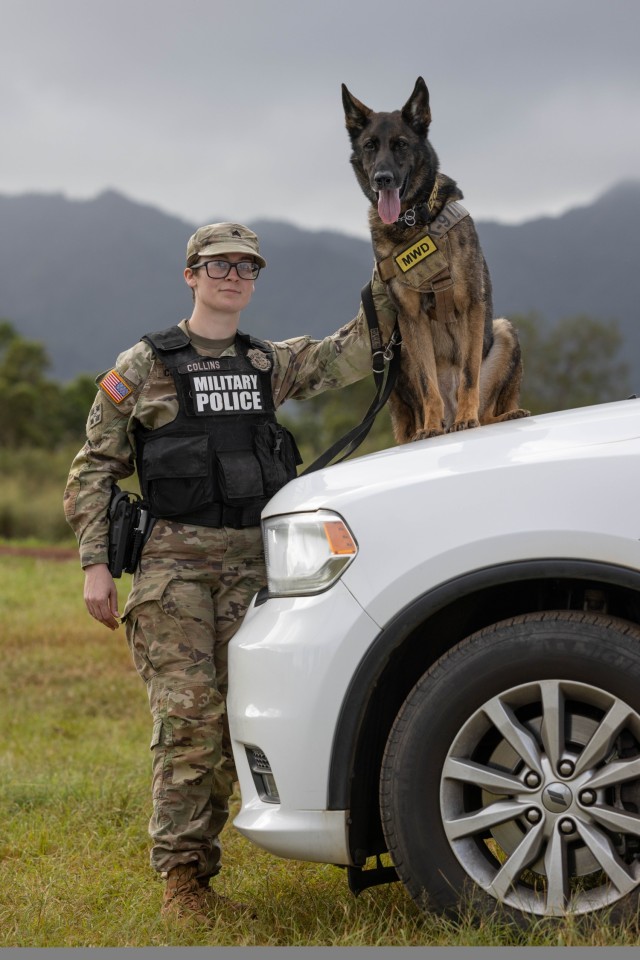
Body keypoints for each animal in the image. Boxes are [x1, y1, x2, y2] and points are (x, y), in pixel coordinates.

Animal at [342, 77, 528, 444]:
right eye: (370, 146)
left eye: (400, 145)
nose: (382, 178)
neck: (412, 221)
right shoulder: (410, 317)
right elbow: (429, 385)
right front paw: (429, 427)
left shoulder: (471, 305)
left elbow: (469, 373)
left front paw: (466, 418)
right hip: (401, 355)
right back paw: (430, 427)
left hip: (502, 330)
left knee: (486, 412)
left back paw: (494, 414)